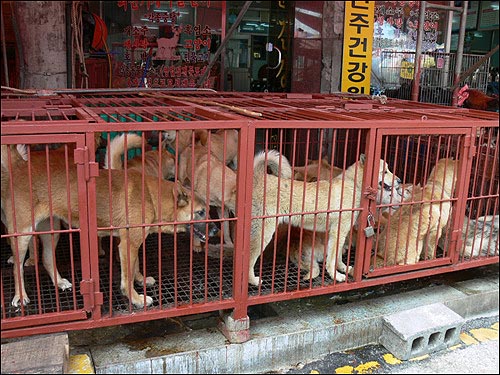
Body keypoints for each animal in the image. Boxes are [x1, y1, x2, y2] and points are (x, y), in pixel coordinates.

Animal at [0, 145, 215, 306]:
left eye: (209, 210)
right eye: (200, 212)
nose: (216, 229)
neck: (152, 197)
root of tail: (19, 165)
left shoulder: (131, 243)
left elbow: (134, 266)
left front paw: (140, 279)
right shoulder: (128, 244)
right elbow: (127, 277)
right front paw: (136, 299)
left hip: (51, 232)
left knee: (46, 259)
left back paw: (59, 282)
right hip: (23, 235)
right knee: (17, 268)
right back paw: (20, 296)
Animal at [250, 149, 402, 284]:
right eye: (385, 171)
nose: (400, 180)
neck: (353, 185)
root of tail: (260, 177)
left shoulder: (338, 233)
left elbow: (338, 255)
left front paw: (343, 268)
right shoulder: (339, 231)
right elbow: (332, 258)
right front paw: (336, 276)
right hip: (264, 234)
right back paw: (254, 281)